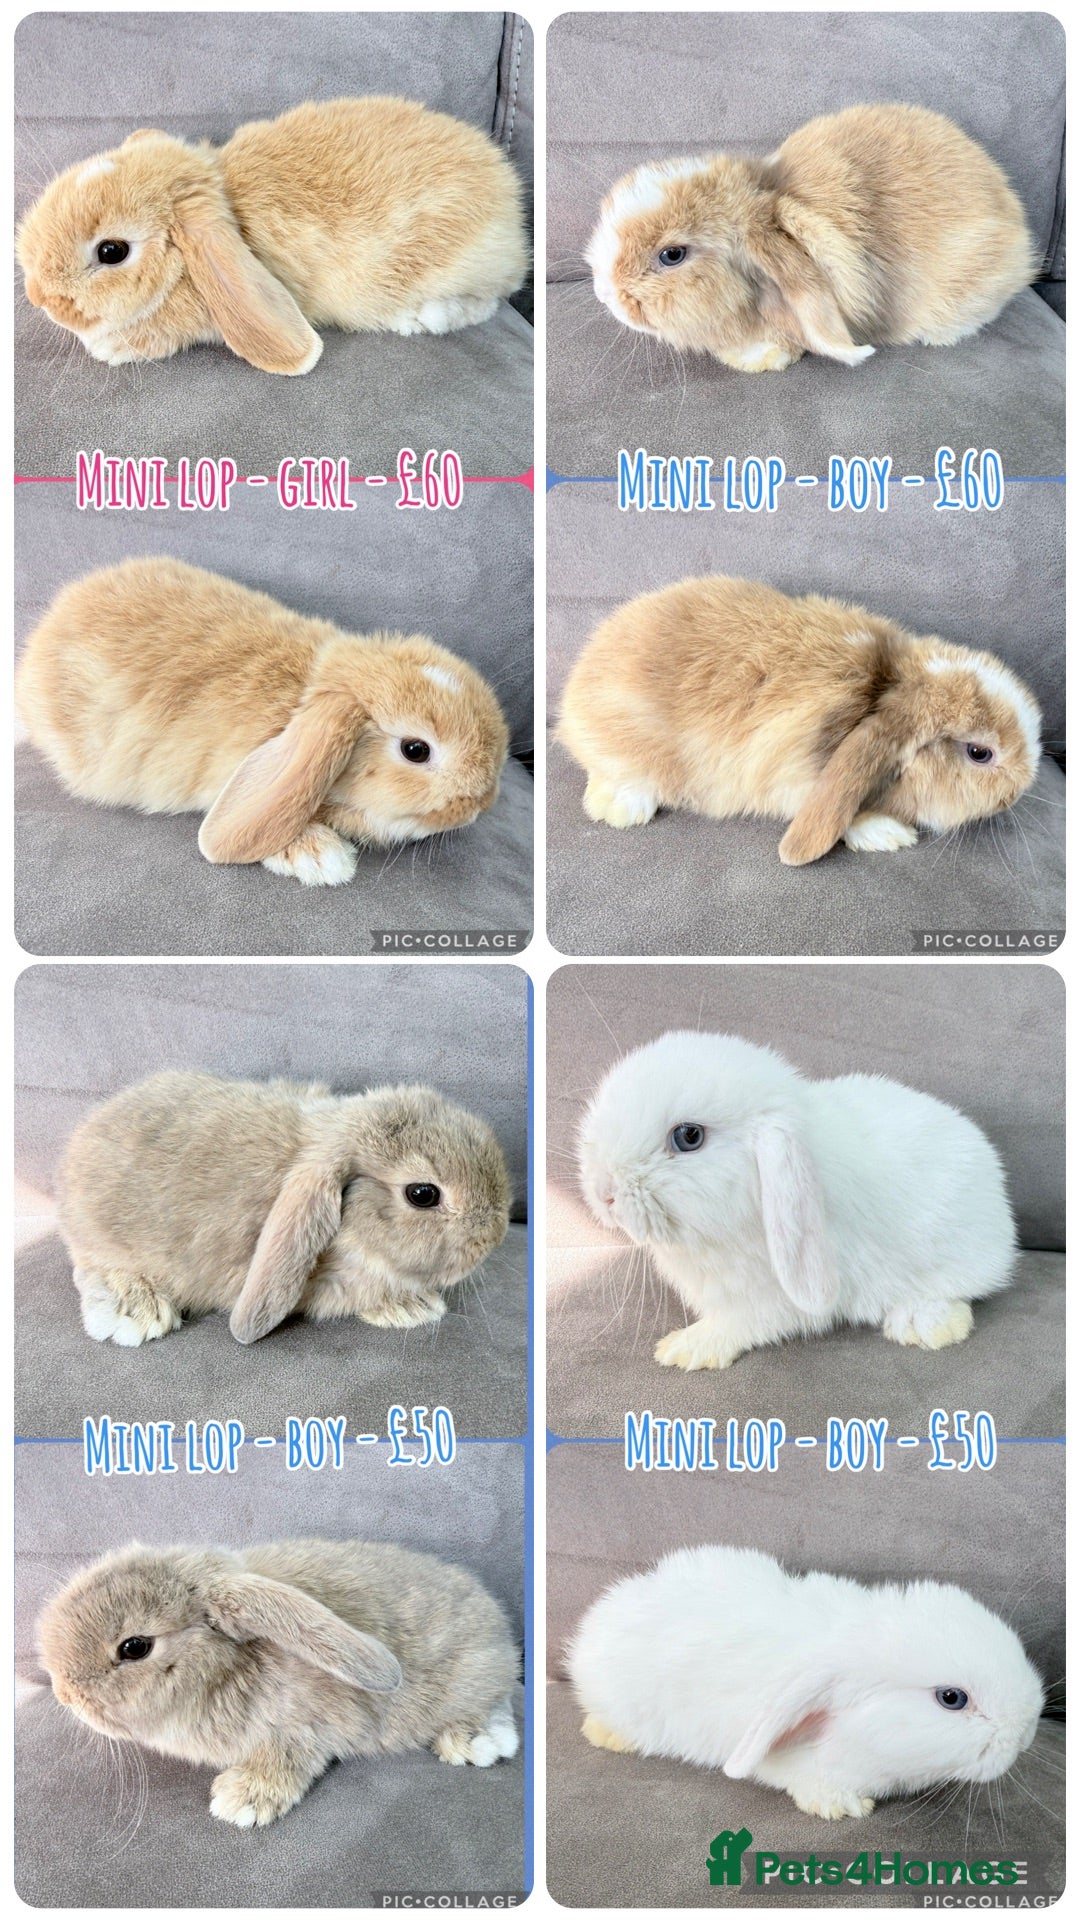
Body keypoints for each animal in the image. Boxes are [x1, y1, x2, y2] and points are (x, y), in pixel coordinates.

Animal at [17, 98, 528, 374]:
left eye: (112, 251)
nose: (37, 295)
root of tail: (511, 209)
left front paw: (106, 348)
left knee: (483, 303)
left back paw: (419, 319)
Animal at [37, 1537, 520, 1826]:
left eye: (134, 1647)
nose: (64, 1693)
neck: (223, 1669)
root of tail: (499, 1627)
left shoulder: (300, 1731)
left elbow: (286, 1760)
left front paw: (240, 1802)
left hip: (473, 1676)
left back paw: (474, 1741)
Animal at [558, 574, 1041, 864]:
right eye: (979, 753)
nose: (1017, 793)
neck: (886, 686)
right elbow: (845, 813)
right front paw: (888, 833)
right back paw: (621, 810)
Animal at [577, 1030, 1016, 1372]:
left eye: (689, 1136)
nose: (603, 1192)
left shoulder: (771, 1297)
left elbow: (740, 1323)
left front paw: (686, 1347)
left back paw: (923, 1324)